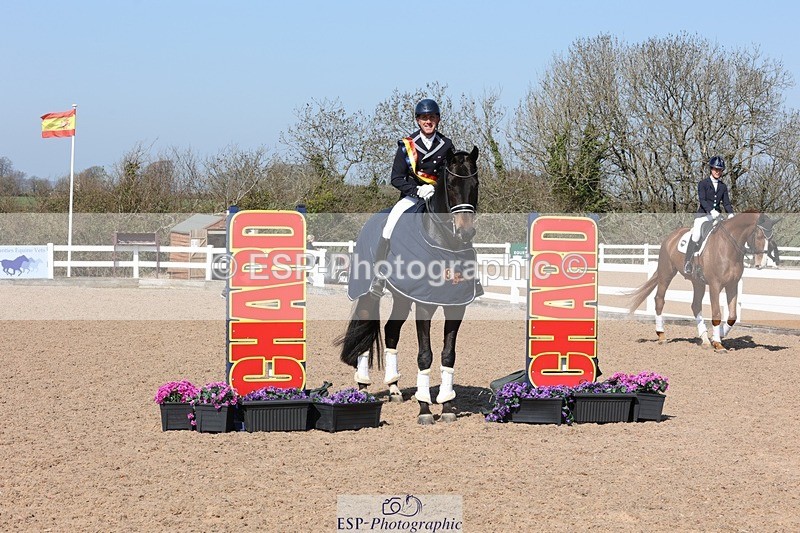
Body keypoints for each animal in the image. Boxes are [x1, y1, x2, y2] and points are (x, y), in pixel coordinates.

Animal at [337, 147, 480, 424]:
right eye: (450, 184)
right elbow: (425, 355)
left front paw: (447, 406)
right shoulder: (424, 305)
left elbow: (448, 354)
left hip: (402, 297)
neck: (445, 244)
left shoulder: (456, 306)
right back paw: (363, 387)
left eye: (475, 184)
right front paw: (425, 408)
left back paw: (393, 388)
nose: (465, 232)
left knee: (391, 332)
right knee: (363, 332)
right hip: (368, 293)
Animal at [628, 210, 779, 351]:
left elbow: (732, 316)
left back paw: (705, 340)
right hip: (666, 273)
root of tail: (671, 237)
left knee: (695, 305)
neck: (728, 247)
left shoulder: (732, 285)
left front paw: (717, 337)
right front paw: (718, 344)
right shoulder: (715, 285)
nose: (762, 264)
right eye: (759, 236)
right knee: (659, 299)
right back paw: (661, 335)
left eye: (771, 238)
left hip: (698, 282)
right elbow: (717, 314)